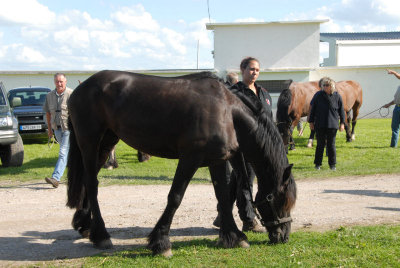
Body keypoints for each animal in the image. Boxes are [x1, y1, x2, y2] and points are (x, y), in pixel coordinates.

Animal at [66, 70, 296, 256]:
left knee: (88, 181)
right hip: (90, 142)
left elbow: (223, 196)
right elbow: (175, 197)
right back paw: (101, 235)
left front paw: (233, 236)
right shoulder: (190, 158)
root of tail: (80, 88)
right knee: (92, 184)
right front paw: (161, 242)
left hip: (106, 143)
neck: (227, 111)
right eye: (282, 201)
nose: (284, 236)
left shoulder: (218, 160)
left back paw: (85, 225)